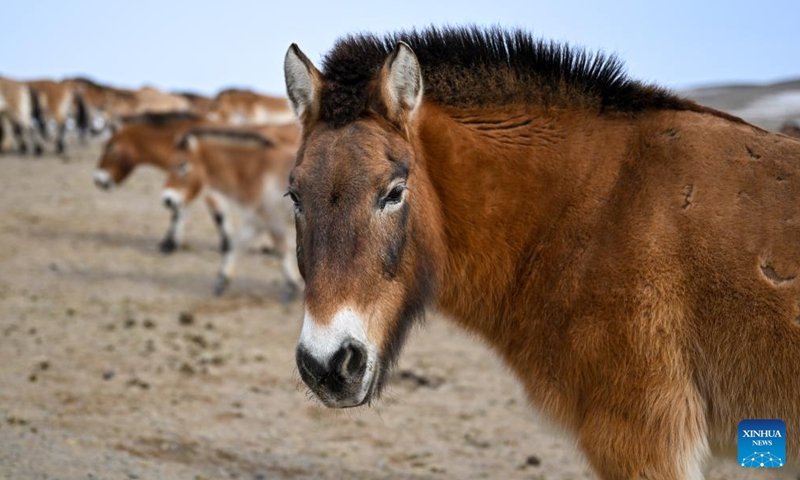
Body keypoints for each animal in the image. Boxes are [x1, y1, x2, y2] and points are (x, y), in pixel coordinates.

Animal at [93, 111, 230, 253]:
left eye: (109, 147)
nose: (98, 179)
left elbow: (214, 214)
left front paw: (168, 244)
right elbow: (183, 211)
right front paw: (172, 243)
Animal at [162, 127, 301, 299]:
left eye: (182, 165)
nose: (167, 199)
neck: (256, 170)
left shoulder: (272, 221)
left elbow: (281, 250)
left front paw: (292, 287)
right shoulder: (255, 221)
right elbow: (234, 245)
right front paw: (222, 281)